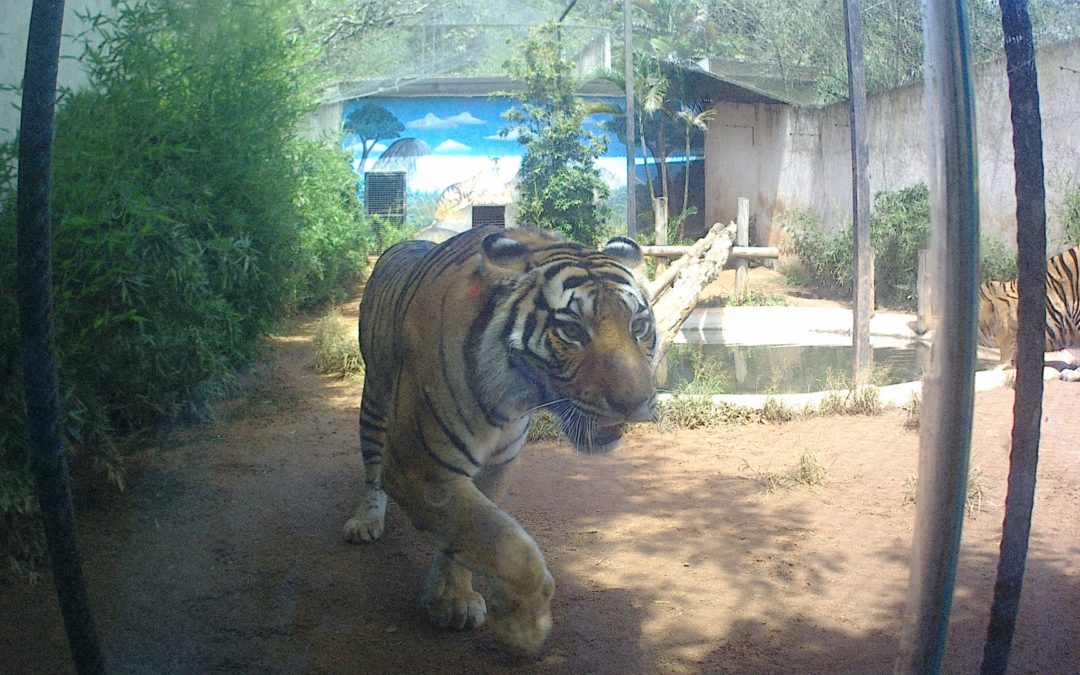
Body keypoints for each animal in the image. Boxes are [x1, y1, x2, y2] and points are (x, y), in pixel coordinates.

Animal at [341, 224, 656, 652]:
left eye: (637, 327)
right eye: (572, 331)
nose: (635, 404)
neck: (514, 397)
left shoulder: (496, 463)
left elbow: (470, 534)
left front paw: (452, 598)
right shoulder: (420, 467)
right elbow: (506, 544)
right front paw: (524, 628)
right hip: (374, 397)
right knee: (372, 467)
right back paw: (365, 520)